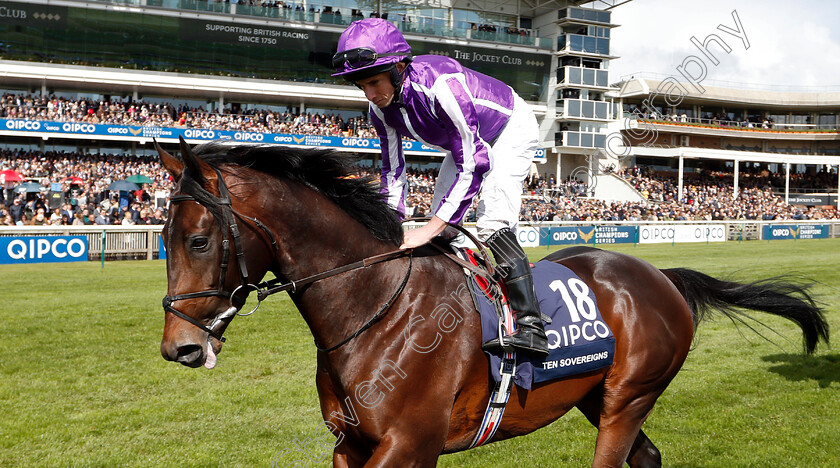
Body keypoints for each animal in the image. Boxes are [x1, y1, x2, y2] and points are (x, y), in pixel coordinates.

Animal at [156, 140, 828, 468]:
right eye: (162, 236)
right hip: (596, 397)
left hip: (629, 397)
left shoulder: (409, 444)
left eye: (198, 239)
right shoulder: (352, 445)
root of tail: (658, 274)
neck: (370, 308)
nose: (178, 347)